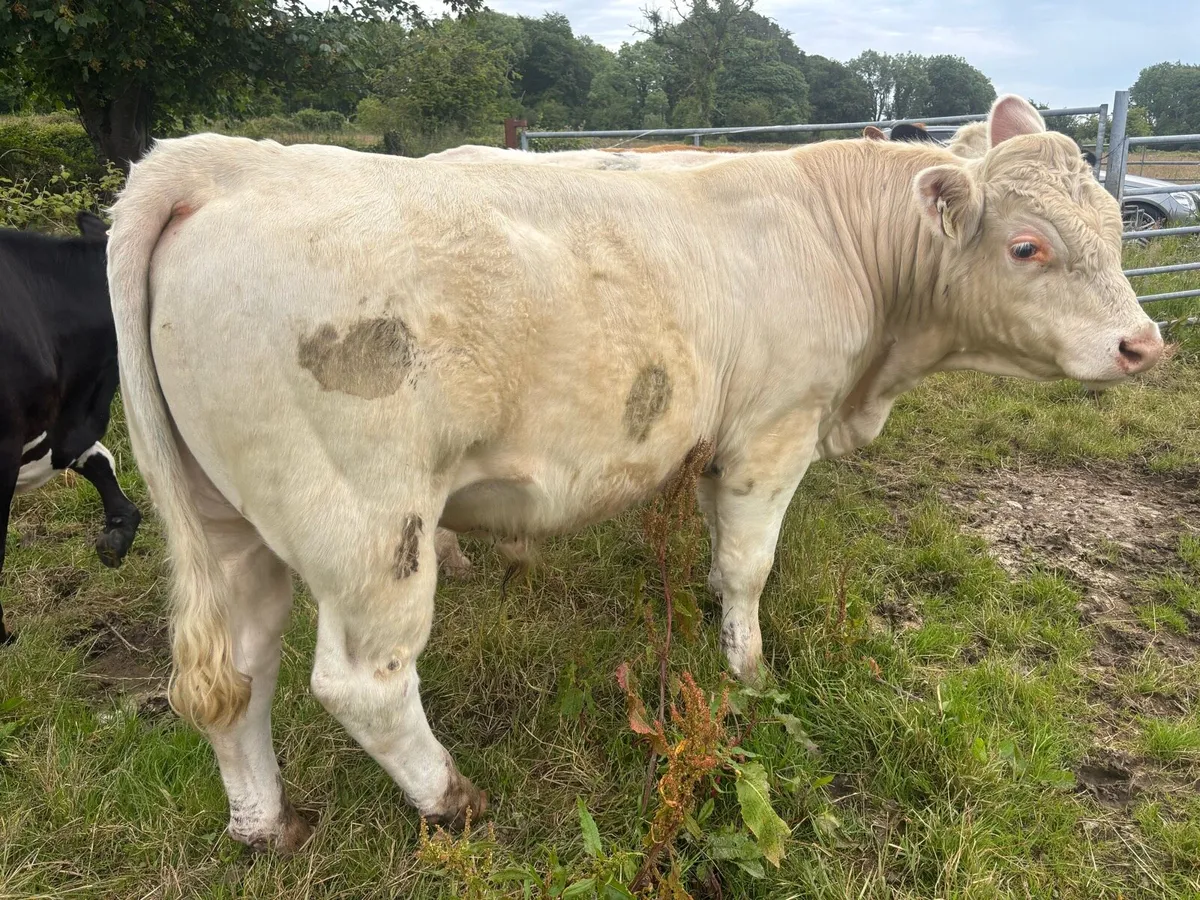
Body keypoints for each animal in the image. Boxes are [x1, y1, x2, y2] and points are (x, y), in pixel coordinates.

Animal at [106, 94, 1163, 851]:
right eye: (1028, 246)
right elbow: (749, 566)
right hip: (371, 527)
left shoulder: (715, 440)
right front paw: (750, 675)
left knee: (234, 676)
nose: (1144, 344)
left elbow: (718, 555)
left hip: (228, 521)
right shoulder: (774, 430)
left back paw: (266, 825)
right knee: (363, 684)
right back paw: (452, 800)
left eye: (1116, 226)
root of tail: (226, 162)